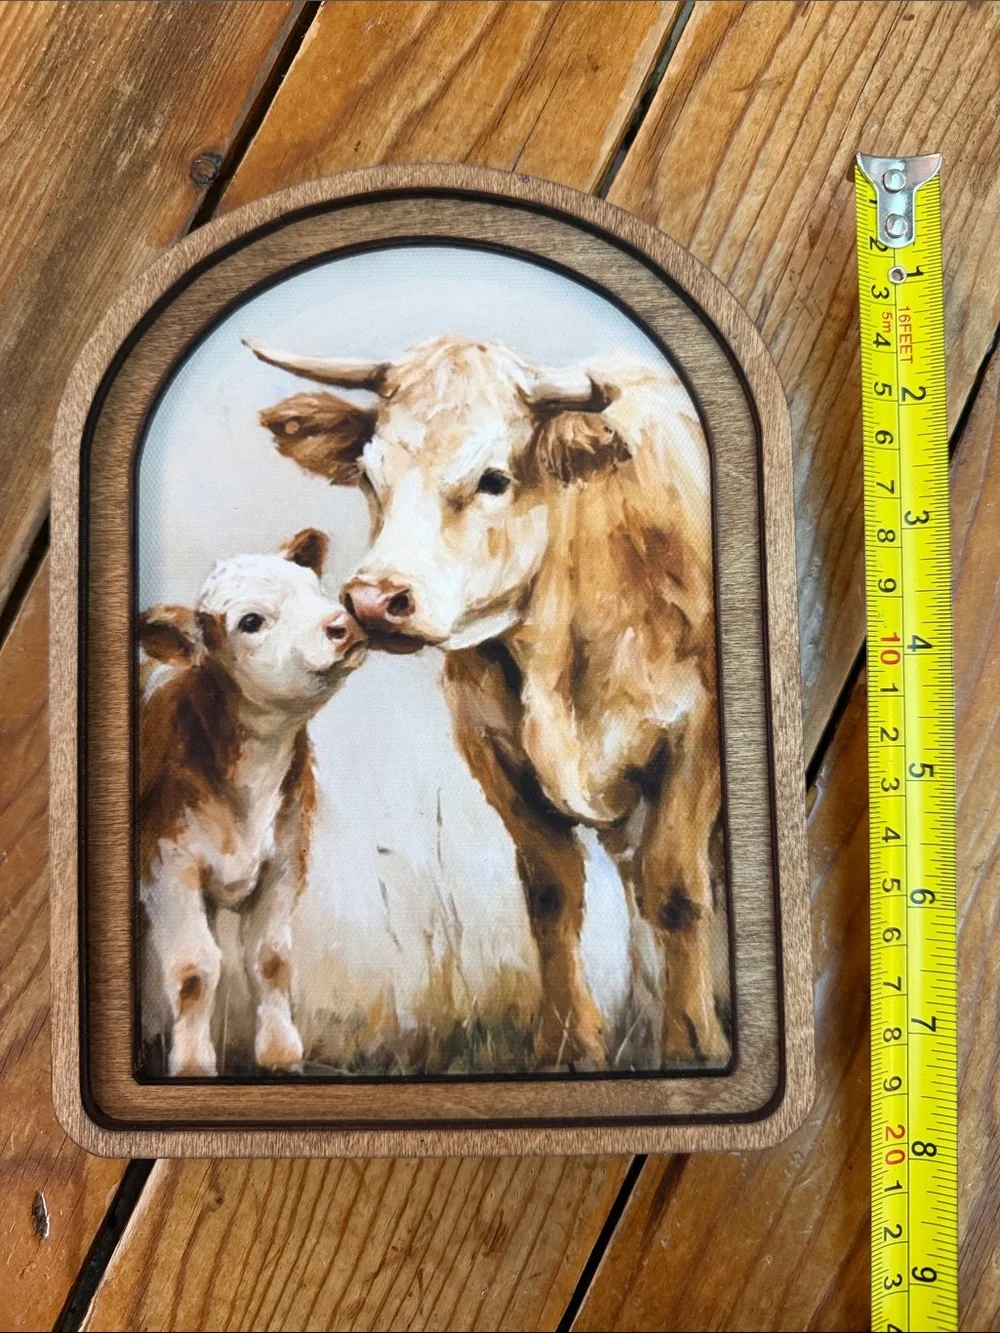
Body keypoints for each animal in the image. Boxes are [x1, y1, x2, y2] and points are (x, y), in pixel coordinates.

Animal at [138, 529, 366, 1076]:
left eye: (314, 589)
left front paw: (281, 1055)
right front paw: (192, 1066)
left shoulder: (284, 860)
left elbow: (270, 958)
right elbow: (194, 968)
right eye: (250, 622)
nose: (342, 623)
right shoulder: (166, 864)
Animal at [249, 334, 728, 1068]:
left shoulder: (696, 736)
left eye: (494, 479)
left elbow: (676, 889)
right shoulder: (493, 749)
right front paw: (569, 1043)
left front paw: (693, 1043)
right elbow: (551, 893)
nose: (373, 599)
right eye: (370, 477)